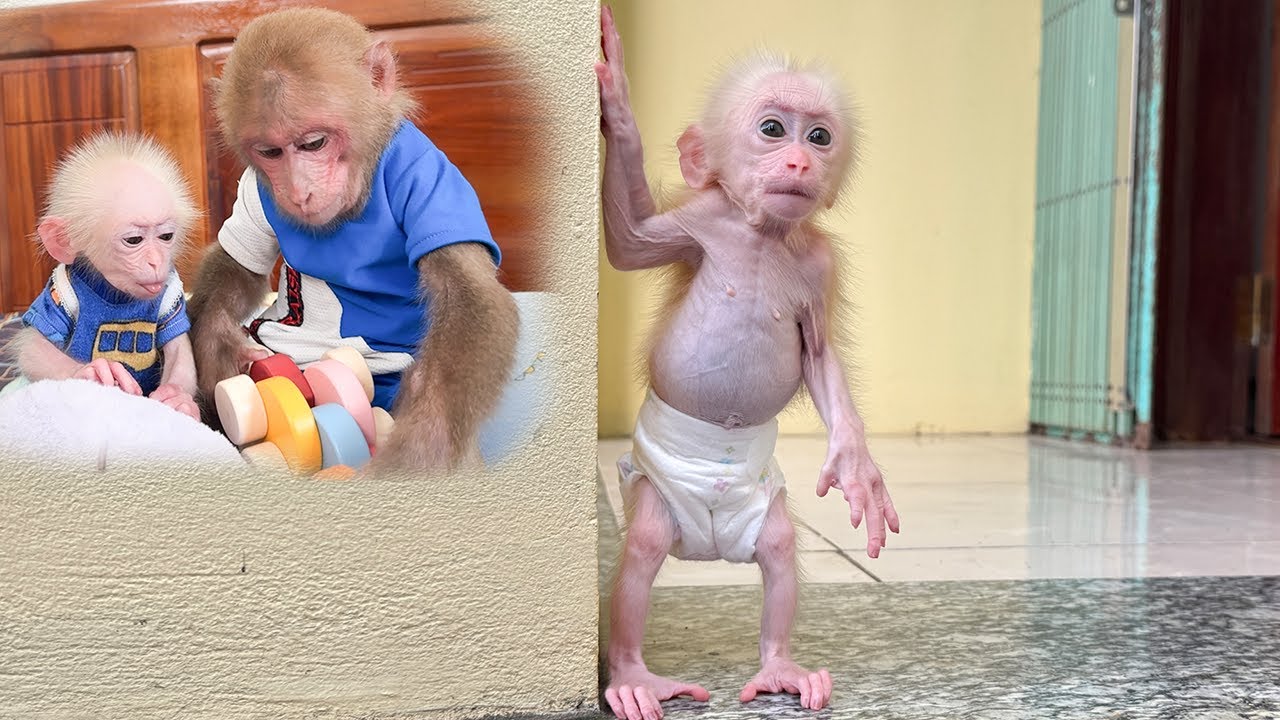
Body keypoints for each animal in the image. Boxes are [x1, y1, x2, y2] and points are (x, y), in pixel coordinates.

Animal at [4, 131, 201, 421]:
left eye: (166, 237)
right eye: (134, 240)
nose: (156, 261)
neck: (116, 294)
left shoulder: (171, 291)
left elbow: (179, 348)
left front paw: (178, 398)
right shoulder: (59, 289)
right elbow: (35, 348)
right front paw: (91, 371)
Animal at [186, 7, 518, 472]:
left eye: (314, 143)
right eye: (270, 153)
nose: (299, 191)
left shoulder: (426, 176)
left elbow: (467, 294)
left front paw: (421, 449)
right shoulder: (254, 188)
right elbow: (239, 267)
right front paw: (217, 349)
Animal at [596, 7, 901, 718]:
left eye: (819, 136)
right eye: (771, 130)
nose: (797, 159)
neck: (762, 233)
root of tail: (709, 545)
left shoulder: (821, 266)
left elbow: (819, 354)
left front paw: (856, 462)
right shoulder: (701, 220)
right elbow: (628, 240)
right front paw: (617, 102)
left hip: (762, 508)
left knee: (782, 548)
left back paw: (779, 667)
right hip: (652, 491)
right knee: (642, 546)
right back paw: (633, 677)